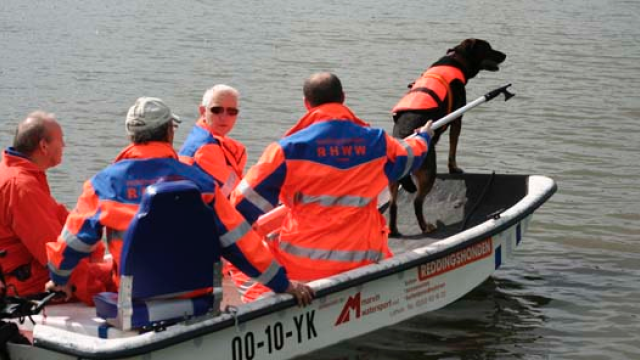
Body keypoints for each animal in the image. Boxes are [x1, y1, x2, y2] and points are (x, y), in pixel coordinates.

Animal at [384, 38, 504, 236]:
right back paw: (426, 227)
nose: (505, 55)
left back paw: (393, 230)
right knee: (417, 202)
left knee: (393, 205)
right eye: (488, 48)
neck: (456, 60)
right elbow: (453, 149)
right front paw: (454, 168)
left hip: (394, 179)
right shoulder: (457, 118)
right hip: (428, 173)